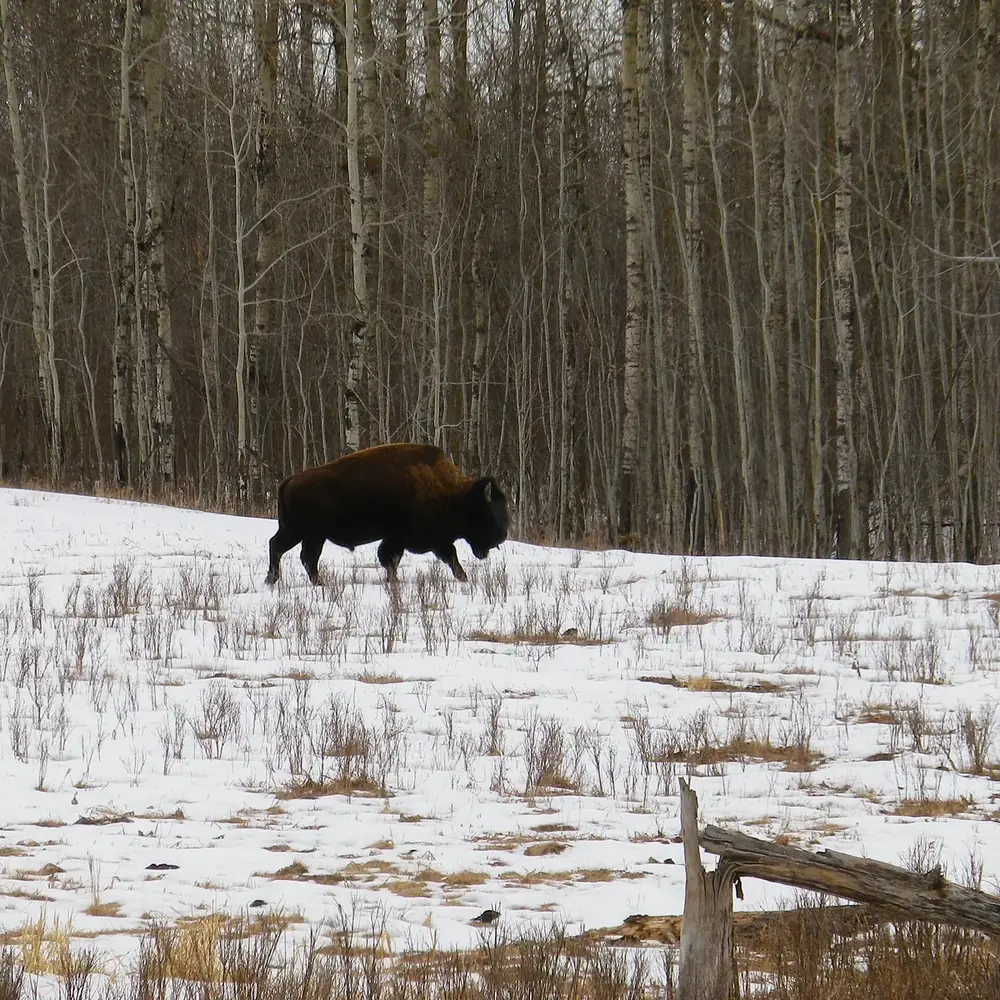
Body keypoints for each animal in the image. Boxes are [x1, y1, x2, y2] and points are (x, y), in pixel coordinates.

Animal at [264, 443, 509, 585]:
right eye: (488, 514)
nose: (502, 535)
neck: (455, 494)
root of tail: (290, 480)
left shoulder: (398, 539)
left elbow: (391, 559)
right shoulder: (426, 539)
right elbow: (450, 556)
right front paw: (464, 578)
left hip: (298, 531)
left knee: (282, 548)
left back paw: (275, 580)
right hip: (310, 534)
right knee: (303, 555)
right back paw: (314, 582)